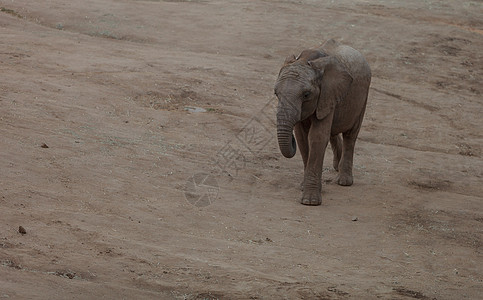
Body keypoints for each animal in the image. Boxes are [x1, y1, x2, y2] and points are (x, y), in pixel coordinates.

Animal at [274, 38, 372, 205]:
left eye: (306, 95)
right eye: (276, 93)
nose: (290, 140)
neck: (305, 59)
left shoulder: (328, 94)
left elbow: (317, 137)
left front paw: (310, 202)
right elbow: (302, 138)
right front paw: (303, 187)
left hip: (363, 97)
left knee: (350, 136)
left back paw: (344, 181)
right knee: (333, 133)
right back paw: (337, 167)